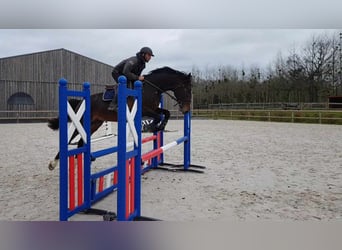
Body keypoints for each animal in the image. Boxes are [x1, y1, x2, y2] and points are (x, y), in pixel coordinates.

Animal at [47, 67, 192, 170]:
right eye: (186, 89)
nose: (186, 109)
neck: (151, 89)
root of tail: (82, 101)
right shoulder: (144, 110)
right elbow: (158, 116)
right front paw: (153, 127)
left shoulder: (154, 108)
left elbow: (166, 113)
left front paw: (160, 126)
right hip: (82, 121)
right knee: (71, 139)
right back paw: (53, 163)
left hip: (95, 124)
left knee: (81, 142)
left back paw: (86, 160)